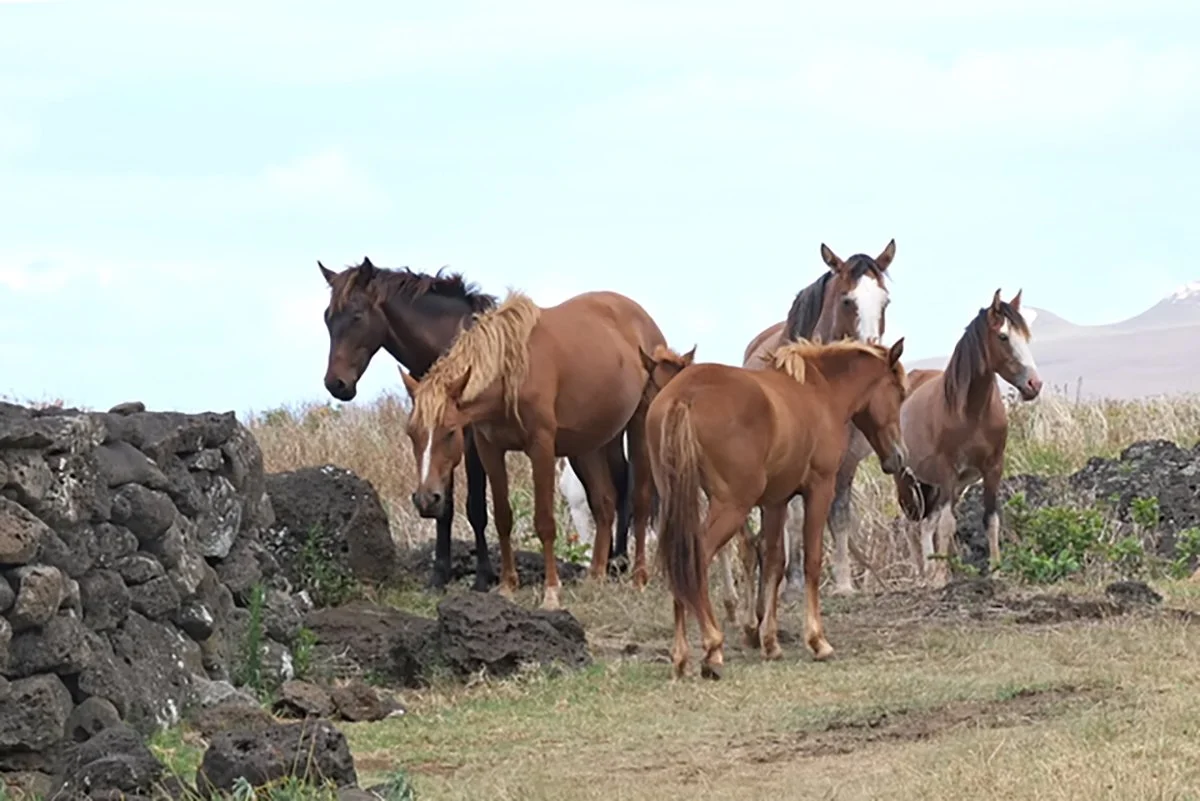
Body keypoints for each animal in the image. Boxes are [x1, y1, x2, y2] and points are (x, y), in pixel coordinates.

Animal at [317, 257, 636, 591]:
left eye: (357, 315)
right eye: (328, 318)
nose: (336, 384)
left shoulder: (471, 441)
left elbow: (476, 508)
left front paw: (483, 575)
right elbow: (444, 508)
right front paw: (439, 574)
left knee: (622, 483)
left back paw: (619, 561)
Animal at [399, 289, 668, 610]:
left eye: (450, 431)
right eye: (411, 433)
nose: (426, 500)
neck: (511, 372)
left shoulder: (541, 447)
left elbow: (545, 521)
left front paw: (551, 592)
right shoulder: (490, 449)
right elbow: (502, 516)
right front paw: (507, 586)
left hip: (638, 426)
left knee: (639, 500)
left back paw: (638, 578)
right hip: (591, 443)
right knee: (604, 502)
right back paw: (595, 576)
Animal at [649, 337, 909, 680]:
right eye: (900, 392)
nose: (898, 458)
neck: (819, 391)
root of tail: (684, 394)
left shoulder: (775, 501)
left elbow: (774, 561)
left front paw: (770, 642)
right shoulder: (819, 489)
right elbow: (811, 560)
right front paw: (817, 640)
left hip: (678, 501)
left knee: (677, 563)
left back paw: (681, 656)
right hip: (731, 506)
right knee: (695, 559)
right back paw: (712, 647)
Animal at [738, 239, 898, 608]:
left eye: (884, 301)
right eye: (848, 300)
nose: (875, 356)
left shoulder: (847, 461)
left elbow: (839, 516)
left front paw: (844, 583)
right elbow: (796, 517)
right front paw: (794, 583)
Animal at [892, 290, 1042, 587]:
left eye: (1025, 336)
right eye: (1003, 337)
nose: (1034, 385)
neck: (971, 412)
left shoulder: (992, 469)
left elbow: (991, 520)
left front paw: (995, 571)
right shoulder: (948, 472)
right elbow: (947, 525)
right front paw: (940, 578)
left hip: (939, 486)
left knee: (926, 524)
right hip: (908, 481)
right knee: (912, 525)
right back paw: (921, 573)